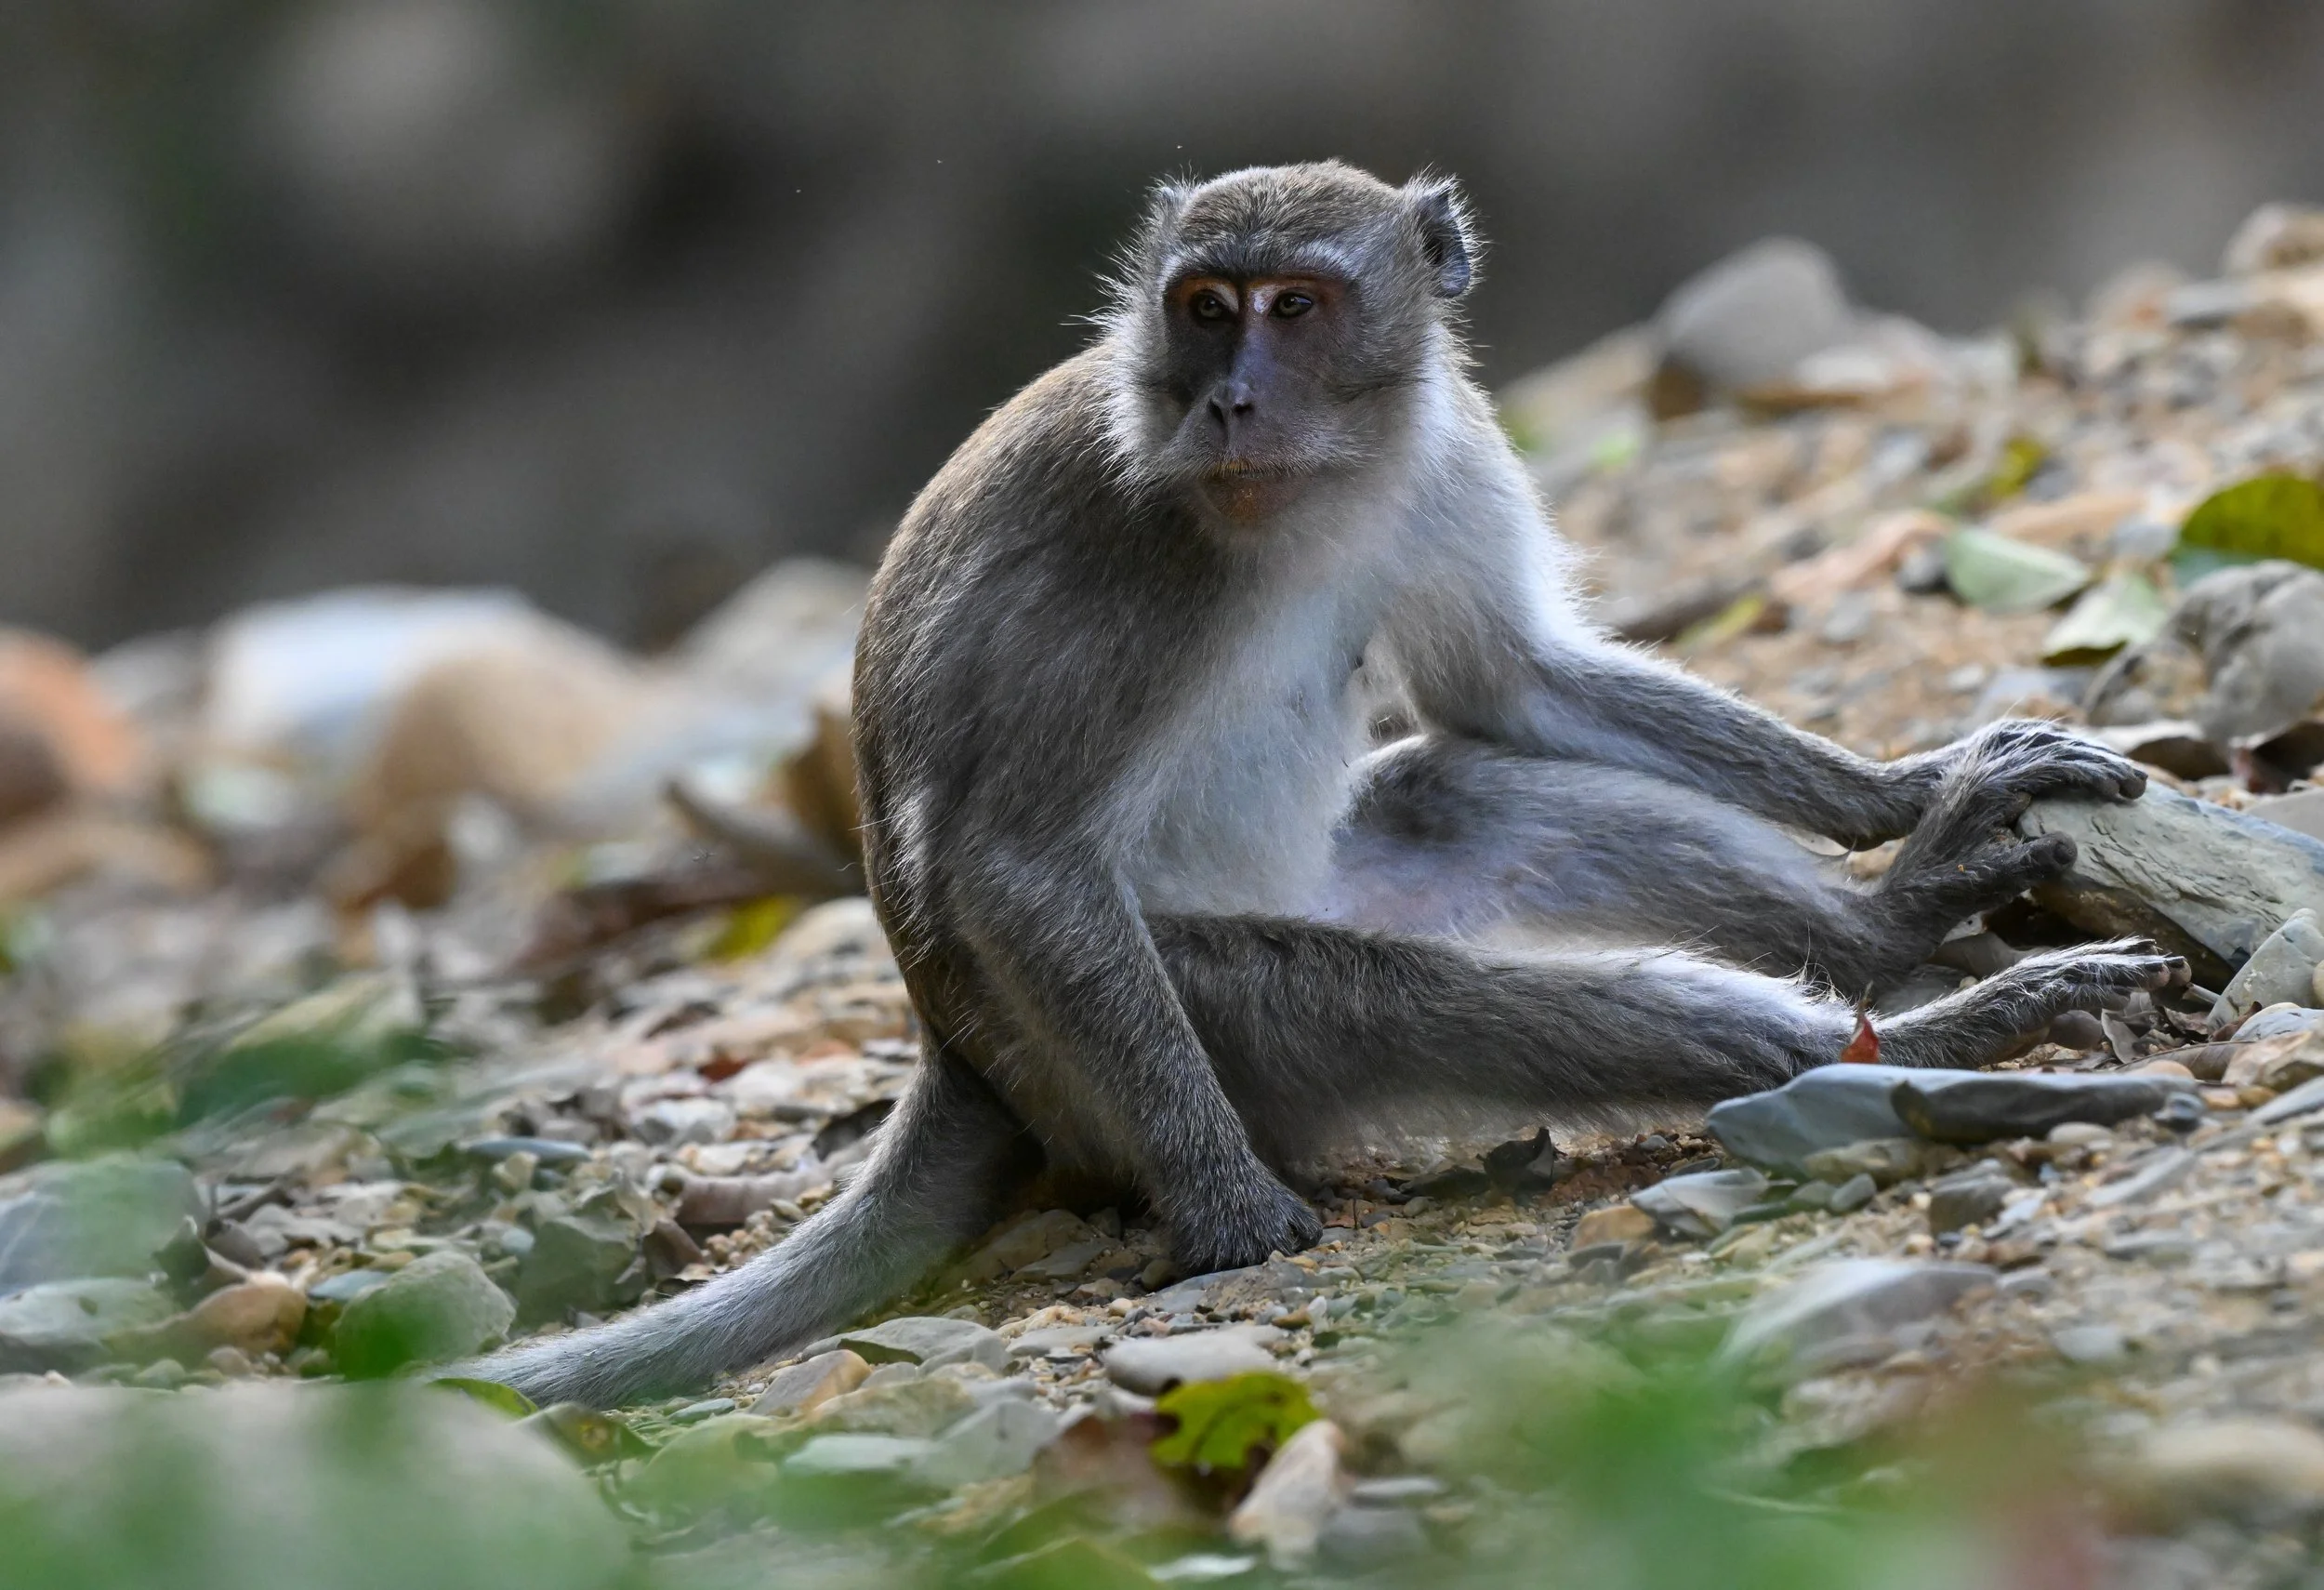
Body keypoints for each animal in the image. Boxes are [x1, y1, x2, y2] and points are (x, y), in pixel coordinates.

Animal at [469, 163, 2181, 1407]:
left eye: (1296, 304)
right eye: (1205, 307)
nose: (1231, 397)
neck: (1310, 490)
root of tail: (954, 1052)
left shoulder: (1451, 449)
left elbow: (1516, 692)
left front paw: (1904, 797)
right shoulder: (1126, 551)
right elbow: (1019, 857)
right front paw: (1226, 1208)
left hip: (1326, 878)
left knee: (1471, 796)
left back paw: (1898, 928)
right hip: (1147, 1039)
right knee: (1400, 996)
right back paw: (1926, 1039)